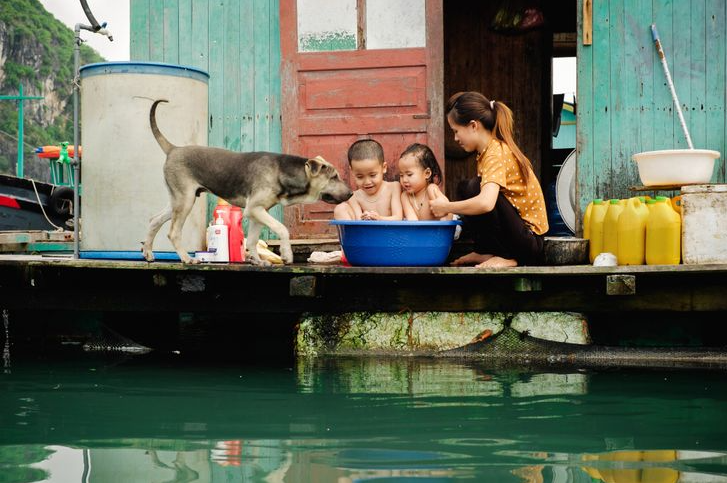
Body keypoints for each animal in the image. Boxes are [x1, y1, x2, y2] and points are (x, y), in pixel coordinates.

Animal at [141, 98, 352, 264]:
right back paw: (186, 258)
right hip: (185, 201)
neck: (283, 171)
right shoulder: (254, 209)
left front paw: (257, 260)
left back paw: (148, 253)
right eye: (334, 177)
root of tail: (173, 149)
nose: (350, 193)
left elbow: (251, 241)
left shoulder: (258, 213)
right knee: (173, 232)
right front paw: (286, 254)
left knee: (154, 221)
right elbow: (282, 229)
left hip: (178, 200)